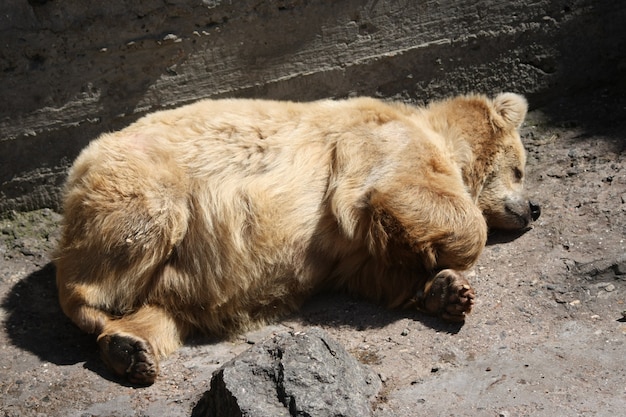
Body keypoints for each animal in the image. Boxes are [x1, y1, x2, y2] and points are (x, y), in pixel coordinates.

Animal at [56, 92, 540, 384]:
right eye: (520, 168)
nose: (534, 208)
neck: (441, 137)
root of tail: (78, 165)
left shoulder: (352, 253)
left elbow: (375, 271)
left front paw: (448, 290)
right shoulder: (378, 145)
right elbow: (397, 192)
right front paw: (453, 254)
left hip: (179, 271)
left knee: (164, 309)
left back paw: (129, 348)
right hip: (147, 185)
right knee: (127, 238)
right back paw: (100, 320)